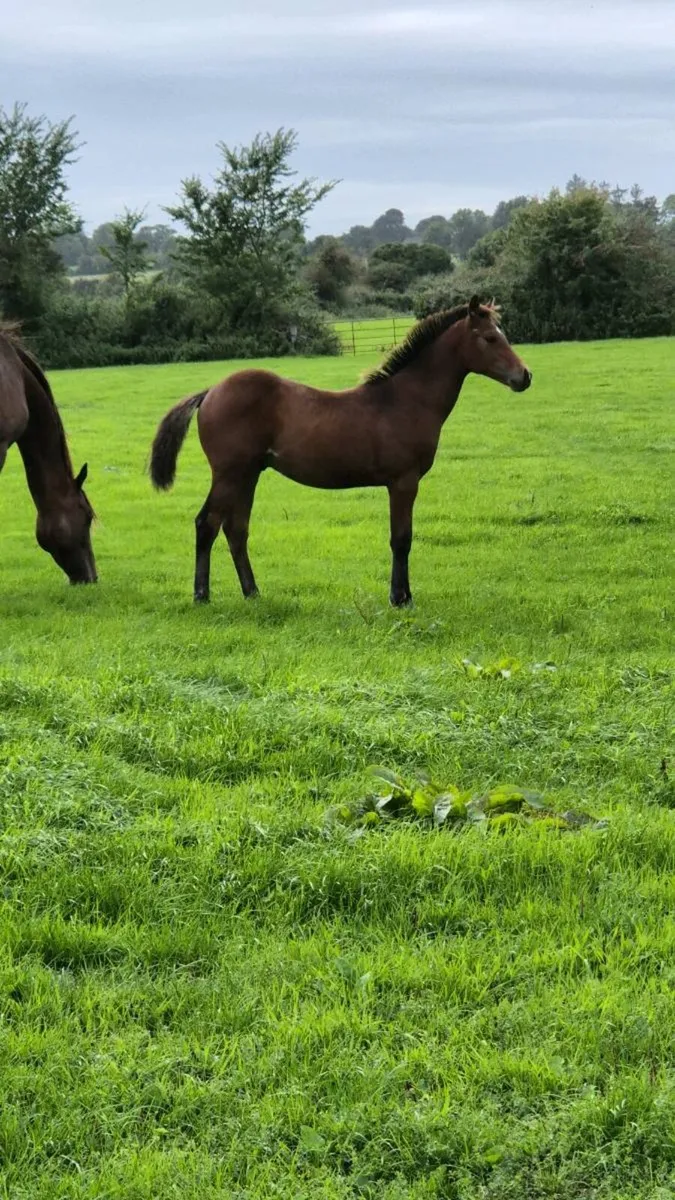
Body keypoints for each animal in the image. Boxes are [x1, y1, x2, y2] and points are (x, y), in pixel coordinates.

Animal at [150, 297, 531, 606]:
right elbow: (401, 539)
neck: (404, 400)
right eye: (490, 338)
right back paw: (202, 596)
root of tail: (210, 392)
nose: (524, 376)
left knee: (236, 528)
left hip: (248, 474)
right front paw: (401, 599)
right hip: (229, 473)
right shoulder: (403, 482)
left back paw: (253, 593)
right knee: (207, 523)